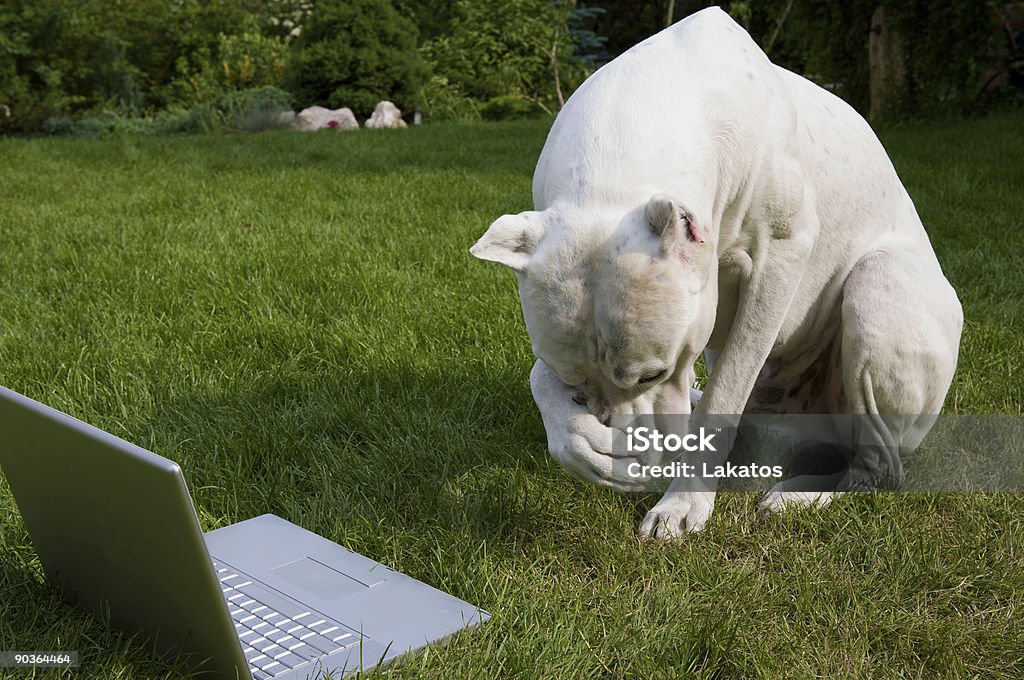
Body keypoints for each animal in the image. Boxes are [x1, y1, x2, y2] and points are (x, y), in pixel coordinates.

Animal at [468, 5, 958, 536]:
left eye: (652, 374)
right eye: (573, 381)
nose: (642, 453)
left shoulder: (778, 260)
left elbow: (724, 395)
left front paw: (682, 503)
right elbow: (540, 377)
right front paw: (581, 441)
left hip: (877, 286)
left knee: (879, 466)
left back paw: (800, 495)